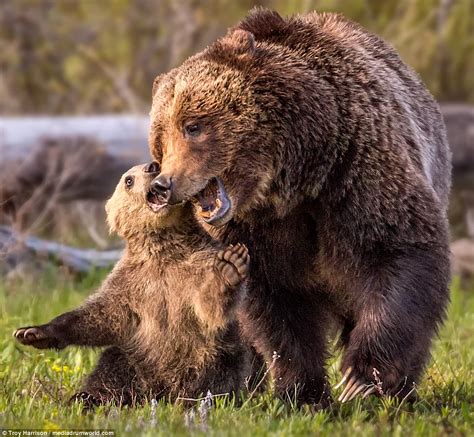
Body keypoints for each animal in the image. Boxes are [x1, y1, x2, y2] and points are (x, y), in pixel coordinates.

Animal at [13, 162, 252, 408]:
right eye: (128, 180)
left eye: (159, 165)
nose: (152, 166)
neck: (164, 248)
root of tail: (160, 391)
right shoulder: (131, 283)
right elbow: (100, 315)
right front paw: (31, 332)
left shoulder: (197, 266)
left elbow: (208, 308)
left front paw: (230, 266)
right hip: (135, 357)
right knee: (111, 371)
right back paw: (86, 398)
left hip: (211, 354)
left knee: (215, 376)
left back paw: (196, 401)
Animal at [148, 8, 452, 408]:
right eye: (160, 140)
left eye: (192, 125)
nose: (162, 184)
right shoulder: (255, 233)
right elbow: (274, 308)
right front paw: (303, 392)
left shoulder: (355, 174)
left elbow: (400, 250)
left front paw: (361, 378)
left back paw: (401, 393)